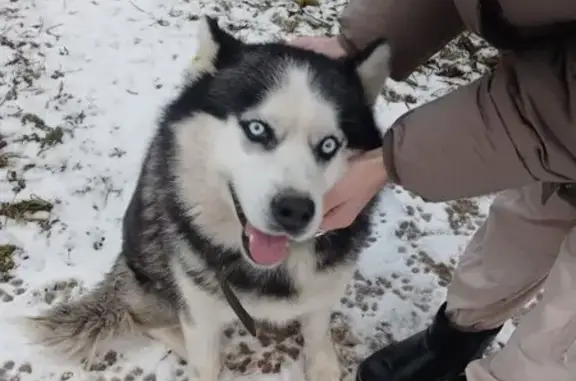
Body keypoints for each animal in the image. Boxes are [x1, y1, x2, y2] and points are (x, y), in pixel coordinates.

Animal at [24, 16, 390, 380]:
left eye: (329, 145)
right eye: (257, 129)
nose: (295, 210)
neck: (269, 272)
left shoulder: (324, 292)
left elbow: (318, 332)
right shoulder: (199, 309)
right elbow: (204, 353)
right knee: (150, 318)